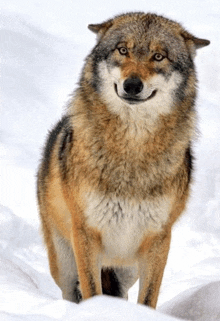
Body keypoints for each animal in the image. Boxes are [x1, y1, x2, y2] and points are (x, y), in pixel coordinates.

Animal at [36, 12, 210, 308]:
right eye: (122, 50)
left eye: (158, 56)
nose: (132, 85)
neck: (131, 149)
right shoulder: (86, 233)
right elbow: (91, 290)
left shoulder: (159, 239)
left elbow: (148, 297)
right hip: (64, 264)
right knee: (72, 292)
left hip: (125, 271)